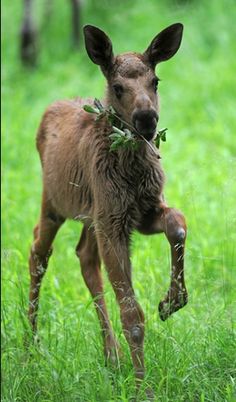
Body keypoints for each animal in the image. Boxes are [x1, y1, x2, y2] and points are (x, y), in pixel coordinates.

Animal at [28, 22, 188, 392]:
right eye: (118, 86)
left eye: (155, 81)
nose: (147, 118)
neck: (131, 172)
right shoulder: (114, 220)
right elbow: (133, 315)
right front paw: (142, 389)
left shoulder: (139, 212)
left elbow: (178, 222)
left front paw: (172, 301)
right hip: (54, 203)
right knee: (38, 250)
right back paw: (29, 347)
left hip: (92, 215)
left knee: (85, 256)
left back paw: (111, 357)